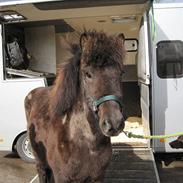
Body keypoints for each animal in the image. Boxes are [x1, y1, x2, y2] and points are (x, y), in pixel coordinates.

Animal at [24, 30, 126, 182]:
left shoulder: (98, 177)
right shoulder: (62, 178)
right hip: (40, 161)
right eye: (87, 73)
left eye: (121, 73)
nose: (114, 123)